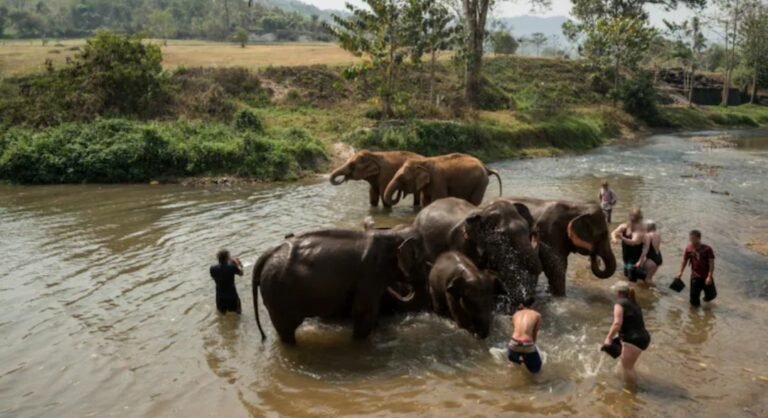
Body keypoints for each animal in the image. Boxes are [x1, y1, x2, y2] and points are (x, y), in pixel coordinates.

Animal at [251, 228, 427, 344]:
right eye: (424, 262)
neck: (392, 235)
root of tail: (268, 253)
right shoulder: (370, 275)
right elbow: (363, 313)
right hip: (277, 292)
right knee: (286, 330)